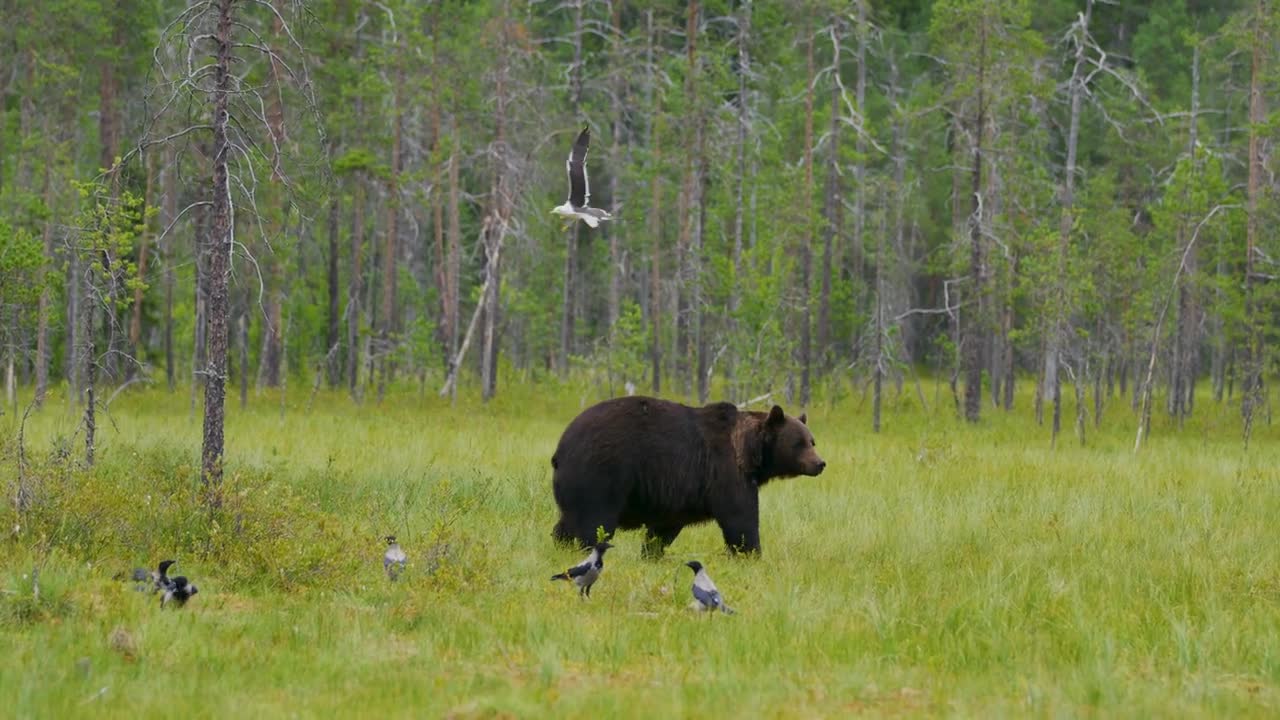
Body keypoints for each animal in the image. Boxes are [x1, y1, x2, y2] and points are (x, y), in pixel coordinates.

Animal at [545, 392, 824, 556]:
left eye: (812, 441)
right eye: (799, 443)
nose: (820, 463)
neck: (749, 452)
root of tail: (561, 448)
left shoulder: (679, 492)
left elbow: (665, 528)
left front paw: (652, 552)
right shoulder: (725, 472)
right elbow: (740, 518)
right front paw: (750, 553)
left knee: (567, 522)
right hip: (600, 476)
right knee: (593, 524)